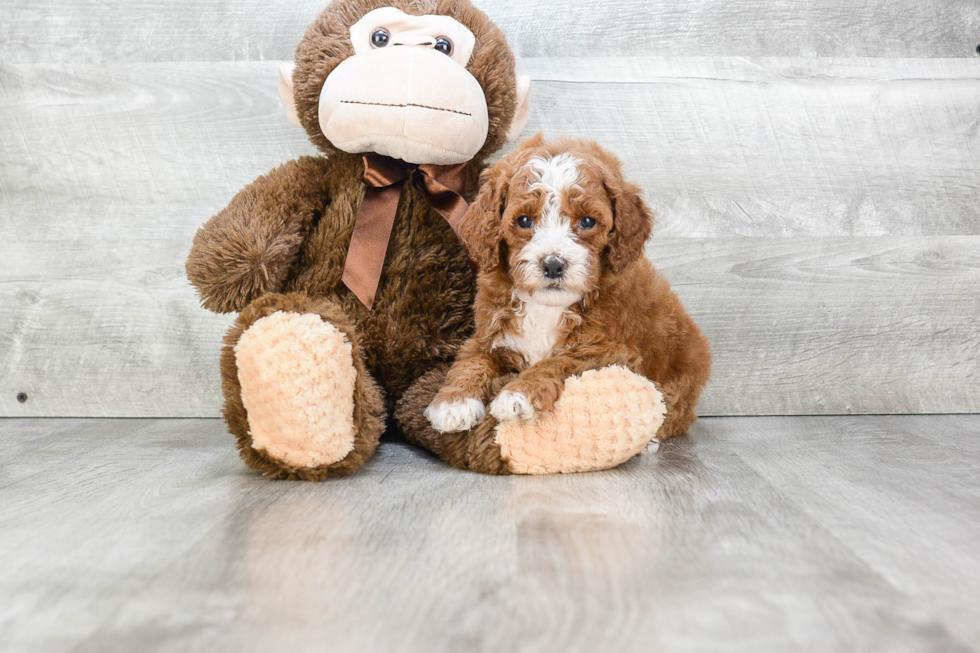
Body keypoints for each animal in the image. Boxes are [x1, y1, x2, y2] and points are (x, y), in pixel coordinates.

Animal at [424, 134, 708, 440]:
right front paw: (453, 403)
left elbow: (560, 362)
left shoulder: (610, 352)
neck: (546, 307)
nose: (553, 265)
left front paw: (518, 394)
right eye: (525, 220)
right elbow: (471, 360)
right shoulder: (488, 335)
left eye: (587, 221)